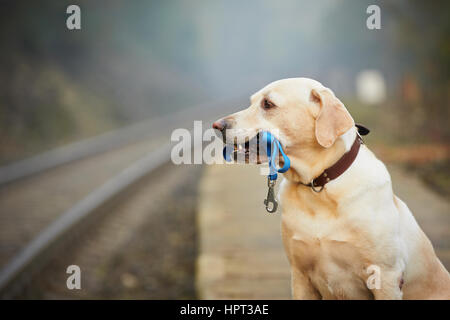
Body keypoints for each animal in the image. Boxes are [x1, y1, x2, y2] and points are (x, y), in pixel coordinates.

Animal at [213, 77, 450, 300]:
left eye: (268, 104)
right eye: (252, 102)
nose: (217, 126)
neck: (318, 187)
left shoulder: (386, 277)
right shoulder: (299, 275)